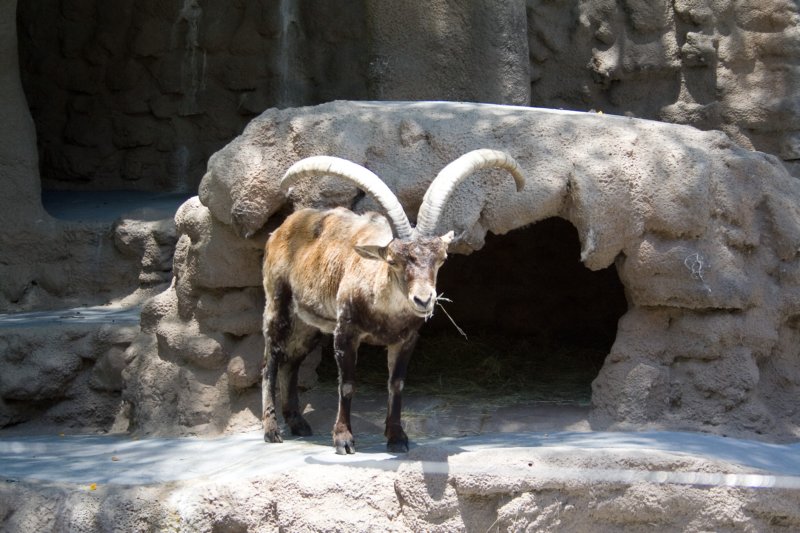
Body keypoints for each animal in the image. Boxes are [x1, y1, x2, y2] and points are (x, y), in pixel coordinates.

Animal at [262, 149, 526, 454]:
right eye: (394, 260)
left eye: (441, 259)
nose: (423, 299)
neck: (385, 311)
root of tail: (282, 228)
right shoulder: (345, 332)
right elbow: (347, 384)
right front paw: (343, 439)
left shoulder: (405, 339)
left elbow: (396, 384)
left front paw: (397, 438)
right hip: (278, 302)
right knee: (271, 360)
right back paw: (271, 430)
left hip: (310, 324)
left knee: (292, 361)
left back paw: (298, 423)